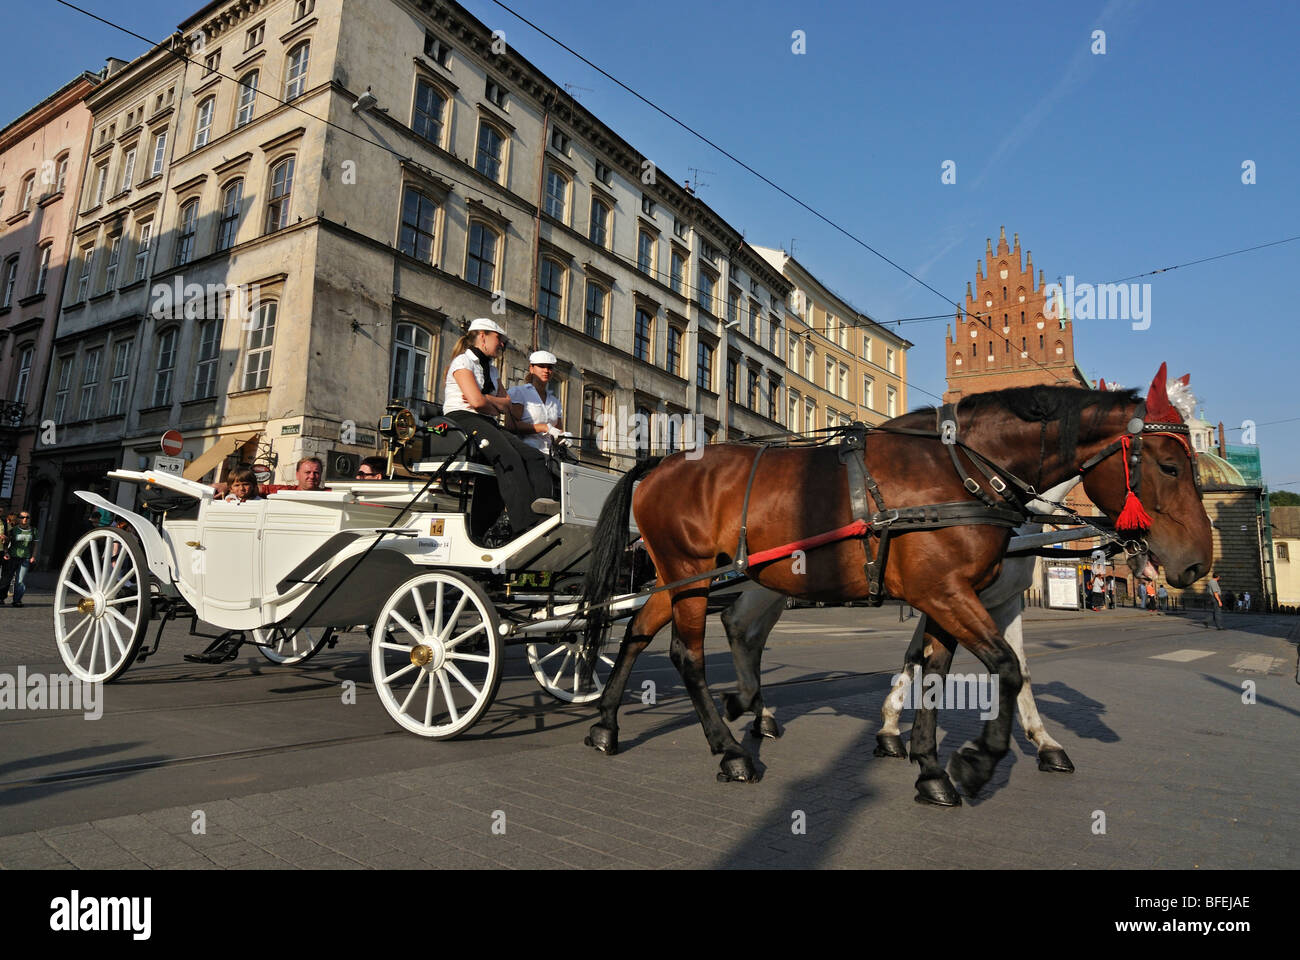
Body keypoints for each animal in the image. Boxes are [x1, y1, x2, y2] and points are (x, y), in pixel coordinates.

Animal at [579, 364, 1206, 801]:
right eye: (1170, 466)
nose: (1198, 563)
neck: (961, 471)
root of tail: (659, 464)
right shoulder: (948, 595)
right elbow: (1006, 667)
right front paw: (974, 762)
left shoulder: (953, 598)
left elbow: (937, 673)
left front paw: (929, 768)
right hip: (692, 577)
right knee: (689, 654)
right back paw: (732, 747)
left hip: (682, 579)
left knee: (642, 630)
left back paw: (611, 723)